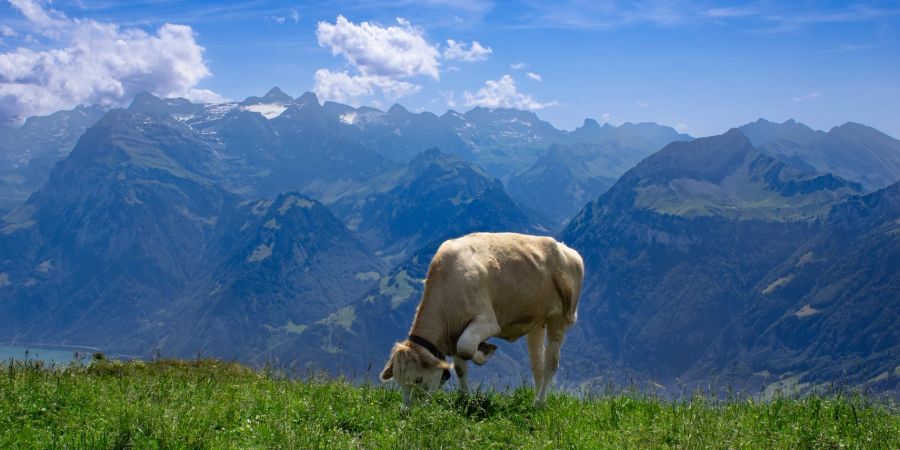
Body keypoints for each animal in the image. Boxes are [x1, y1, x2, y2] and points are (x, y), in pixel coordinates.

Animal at [378, 232, 584, 408]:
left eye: (418, 379)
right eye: (398, 380)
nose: (406, 411)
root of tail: (567, 250)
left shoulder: (486, 323)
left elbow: (466, 348)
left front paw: (486, 350)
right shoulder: (454, 330)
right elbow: (460, 367)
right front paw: (466, 397)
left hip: (558, 319)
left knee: (550, 364)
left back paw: (539, 403)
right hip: (537, 322)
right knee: (537, 365)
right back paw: (537, 397)